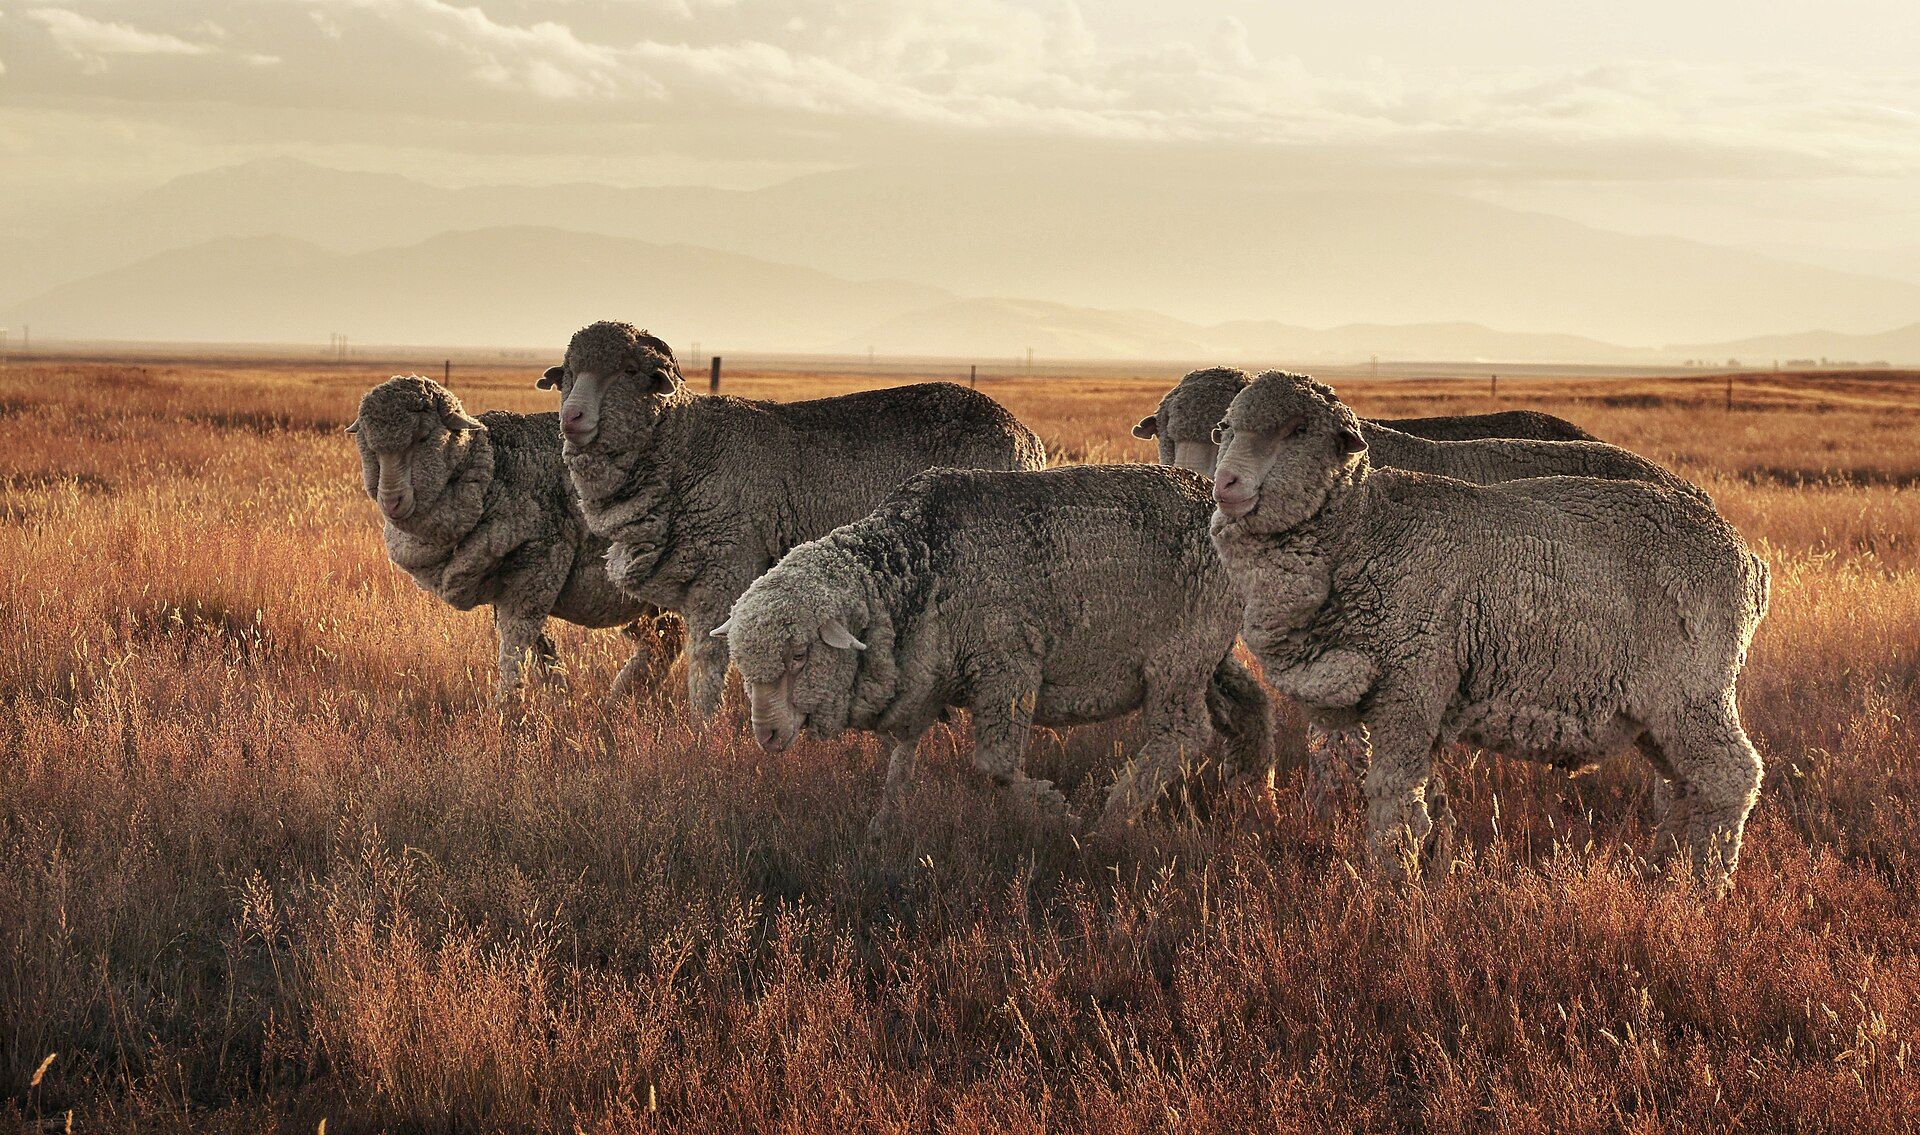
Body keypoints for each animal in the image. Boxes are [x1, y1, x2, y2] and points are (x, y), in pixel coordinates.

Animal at [349, 375, 679, 704]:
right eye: (368, 444)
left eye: (423, 437)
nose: (391, 501)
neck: (492, 469)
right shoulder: (509, 583)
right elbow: (538, 645)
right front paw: (557, 690)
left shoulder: (541, 565)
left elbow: (516, 639)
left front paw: (508, 704)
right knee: (665, 641)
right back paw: (625, 695)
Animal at [542, 321, 1047, 719]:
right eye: (567, 373)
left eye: (629, 371)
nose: (572, 417)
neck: (690, 444)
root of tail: (1027, 438)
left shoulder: (725, 570)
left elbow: (706, 663)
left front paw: (701, 731)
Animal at [710, 464, 1272, 837]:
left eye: (800, 655)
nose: (765, 735)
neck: (918, 563)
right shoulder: (926, 678)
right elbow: (900, 763)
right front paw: (881, 830)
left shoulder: (1007, 667)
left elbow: (994, 766)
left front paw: (1055, 810)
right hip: (1210, 649)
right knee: (1250, 702)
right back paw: (1255, 789)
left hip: (1182, 651)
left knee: (1183, 732)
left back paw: (1113, 816)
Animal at [1208, 371, 1769, 894]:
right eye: (1228, 428)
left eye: (1299, 429)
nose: (1225, 483)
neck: (1365, 531)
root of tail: (1745, 556)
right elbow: (1422, 798)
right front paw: (1431, 872)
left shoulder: (1413, 682)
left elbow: (1393, 796)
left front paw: (1393, 888)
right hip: (1656, 712)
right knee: (1684, 786)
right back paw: (1664, 873)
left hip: (1691, 690)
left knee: (1730, 778)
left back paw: (1704, 884)